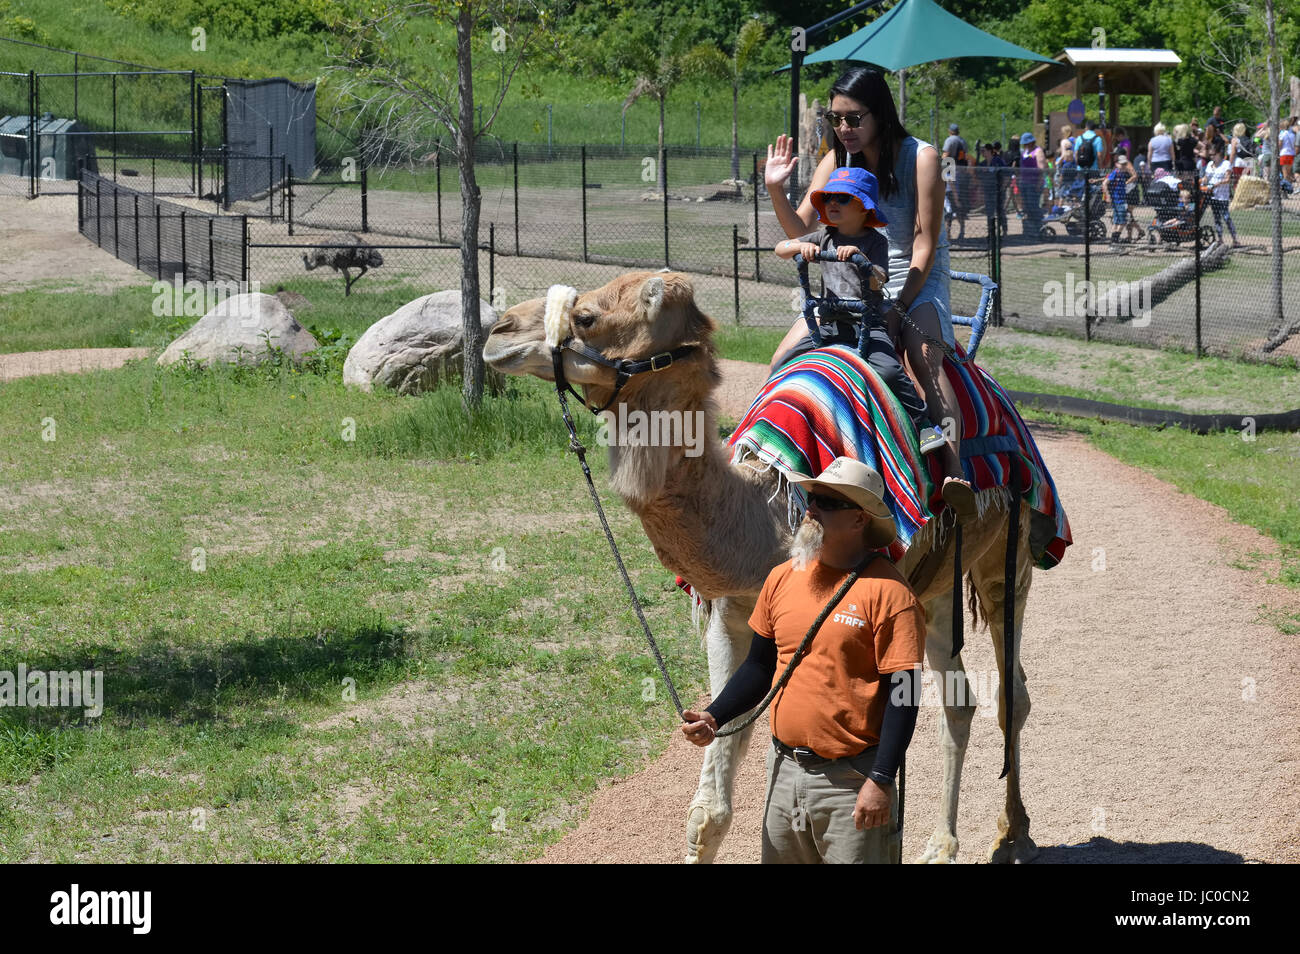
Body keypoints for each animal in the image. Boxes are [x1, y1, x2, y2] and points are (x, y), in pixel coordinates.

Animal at [483, 271, 1044, 864]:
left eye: (588, 317)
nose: (498, 330)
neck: (770, 513)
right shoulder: (732, 616)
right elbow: (709, 808)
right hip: (935, 591)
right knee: (958, 703)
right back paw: (942, 844)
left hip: (1008, 554)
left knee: (1011, 691)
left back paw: (1013, 834)